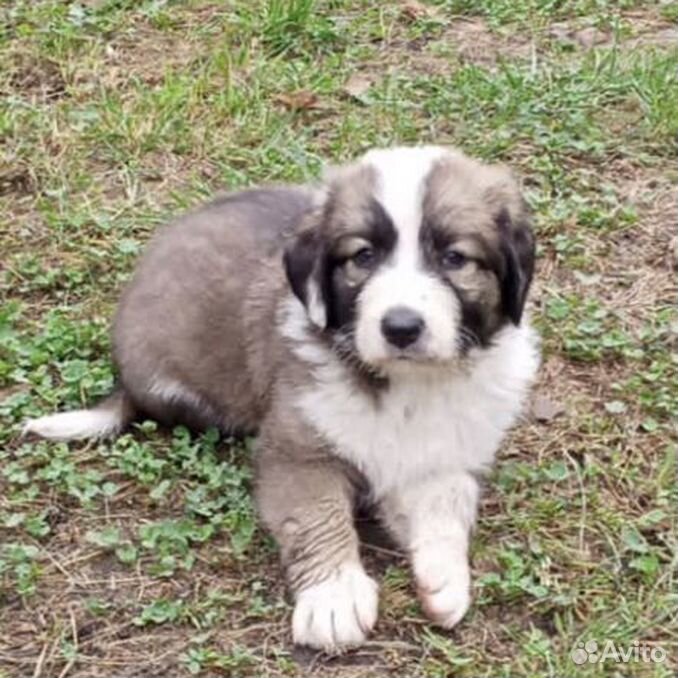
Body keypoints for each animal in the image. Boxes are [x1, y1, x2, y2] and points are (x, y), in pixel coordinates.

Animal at [22, 147, 540, 652]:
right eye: (363, 256)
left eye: (455, 257)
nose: (401, 327)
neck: (407, 383)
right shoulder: (296, 447)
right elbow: (316, 514)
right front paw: (333, 598)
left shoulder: (451, 450)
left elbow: (448, 502)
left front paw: (444, 576)